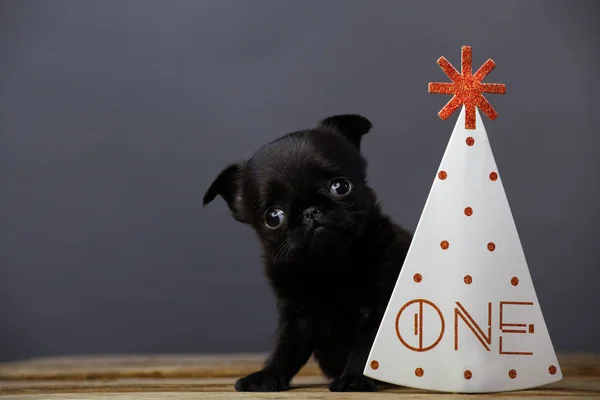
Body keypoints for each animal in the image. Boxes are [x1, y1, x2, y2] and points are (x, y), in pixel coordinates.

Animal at [204, 114, 410, 392]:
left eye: (341, 186)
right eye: (273, 217)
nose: (310, 211)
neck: (331, 264)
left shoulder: (380, 305)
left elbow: (366, 349)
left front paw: (354, 378)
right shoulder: (297, 316)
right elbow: (285, 349)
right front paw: (266, 375)